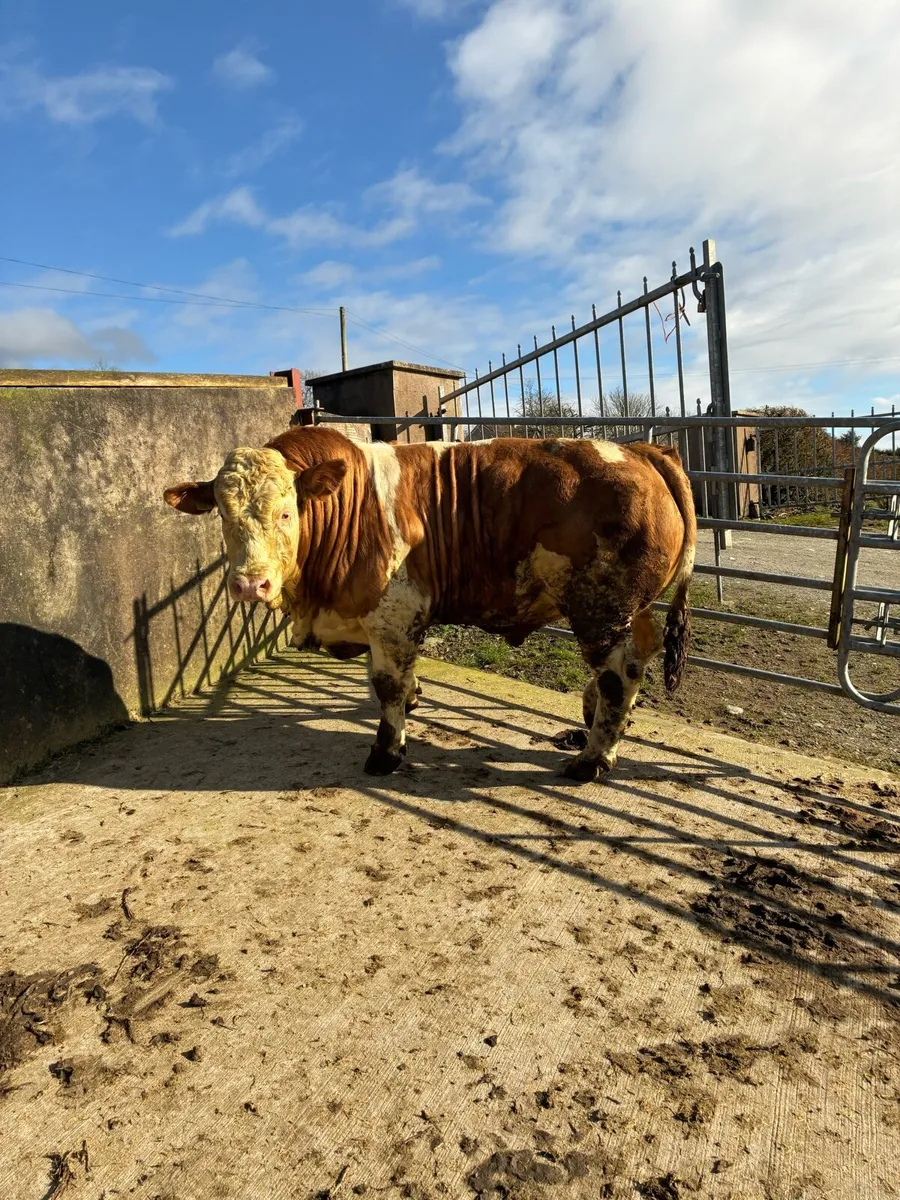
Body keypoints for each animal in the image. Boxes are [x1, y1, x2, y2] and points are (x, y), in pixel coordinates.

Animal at [164, 427, 695, 782]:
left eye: (285, 512)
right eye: (223, 515)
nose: (250, 585)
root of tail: (640, 450)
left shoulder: (394, 615)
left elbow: (387, 686)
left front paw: (387, 751)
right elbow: (400, 682)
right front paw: (413, 702)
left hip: (599, 609)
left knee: (618, 674)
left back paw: (592, 758)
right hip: (630, 609)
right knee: (639, 654)